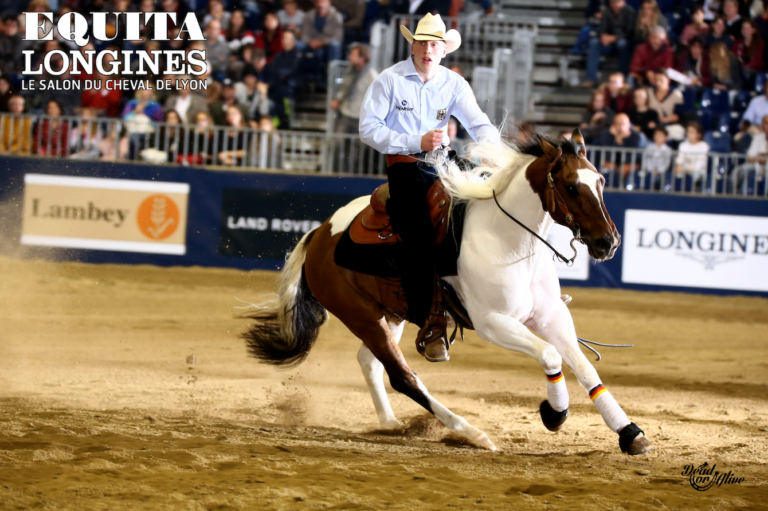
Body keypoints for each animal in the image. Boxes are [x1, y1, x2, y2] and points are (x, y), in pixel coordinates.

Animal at [244, 129, 656, 456]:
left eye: (600, 181)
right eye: (571, 186)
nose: (608, 242)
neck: (508, 241)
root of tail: (319, 234)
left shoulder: (551, 315)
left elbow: (585, 368)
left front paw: (629, 432)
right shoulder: (493, 323)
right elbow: (551, 355)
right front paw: (554, 413)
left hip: (390, 312)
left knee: (370, 362)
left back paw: (391, 423)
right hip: (360, 315)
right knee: (402, 376)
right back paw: (471, 433)